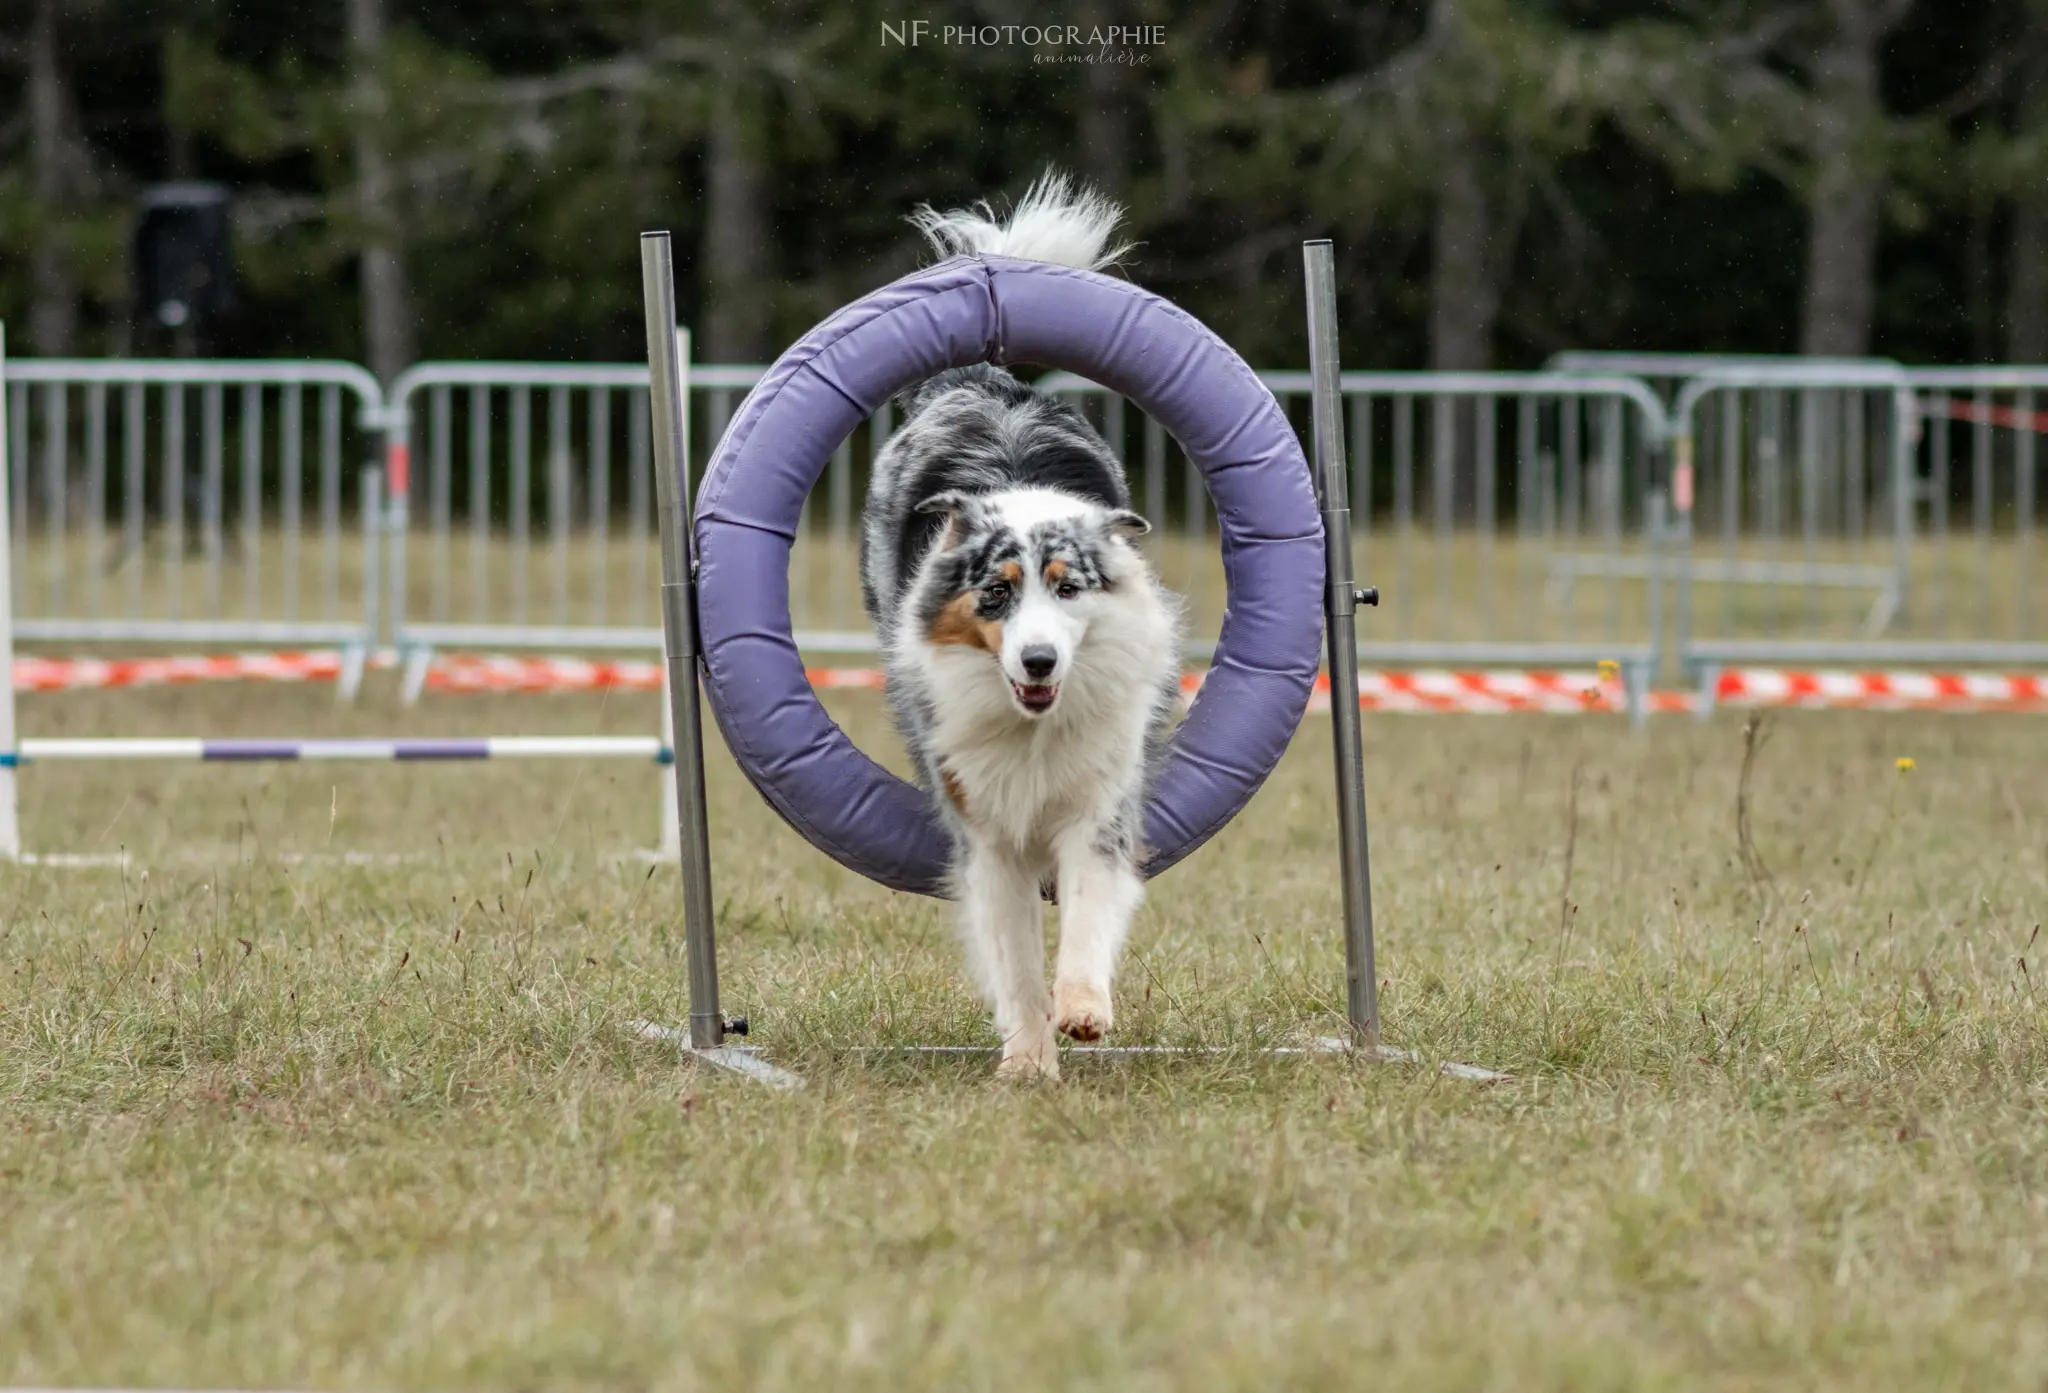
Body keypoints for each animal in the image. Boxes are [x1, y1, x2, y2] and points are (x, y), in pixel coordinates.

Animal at [864, 174, 1187, 1081]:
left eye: (1067, 586)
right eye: (997, 593)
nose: (1040, 662)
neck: (1034, 728)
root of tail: (981, 378)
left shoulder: (1100, 803)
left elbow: (1085, 911)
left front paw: (1082, 1010)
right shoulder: (986, 824)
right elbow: (1011, 950)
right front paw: (1028, 1059)